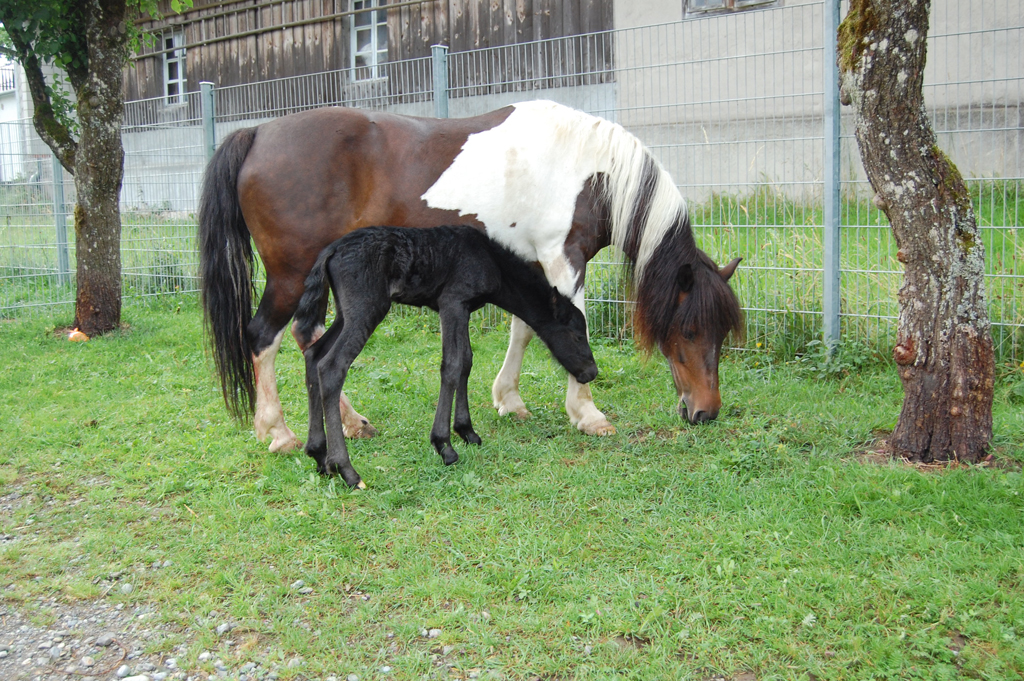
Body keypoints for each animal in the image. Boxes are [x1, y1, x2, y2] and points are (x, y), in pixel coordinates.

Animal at [199, 100, 743, 453]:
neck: (588, 171)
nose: (706, 411)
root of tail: (258, 133)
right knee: (264, 337)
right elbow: (569, 327)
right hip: (290, 275)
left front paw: (509, 400)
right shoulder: (563, 258)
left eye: (721, 334)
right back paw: (278, 433)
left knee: (308, 339)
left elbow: (527, 327)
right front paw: (587, 413)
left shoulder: (529, 264)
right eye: (690, 330)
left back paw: (351, 423)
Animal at [294, 225, 599, 488]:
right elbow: (451, 366)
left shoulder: (463, 308)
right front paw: (444, 445)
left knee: (314, 354)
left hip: (346, 313)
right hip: (366, 308)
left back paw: (319, 455)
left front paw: (466, 431)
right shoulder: (452, 302)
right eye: (576, 335)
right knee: (332, 366)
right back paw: (347, 470)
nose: (591, 372)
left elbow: (466, 361)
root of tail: (331, 250)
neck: (492, 260)